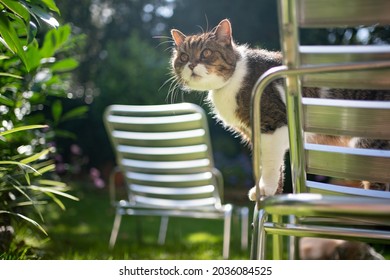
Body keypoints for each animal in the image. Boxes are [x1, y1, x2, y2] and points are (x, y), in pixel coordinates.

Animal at [170, 18, 390, 198]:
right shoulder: (255, 133)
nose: (191, 64)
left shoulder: (274, 125)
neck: (233, 79)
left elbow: (269, 163)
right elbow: (275, 165)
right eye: (183, 57)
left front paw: (265, 189)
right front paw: (272, 192)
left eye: (206, 52)